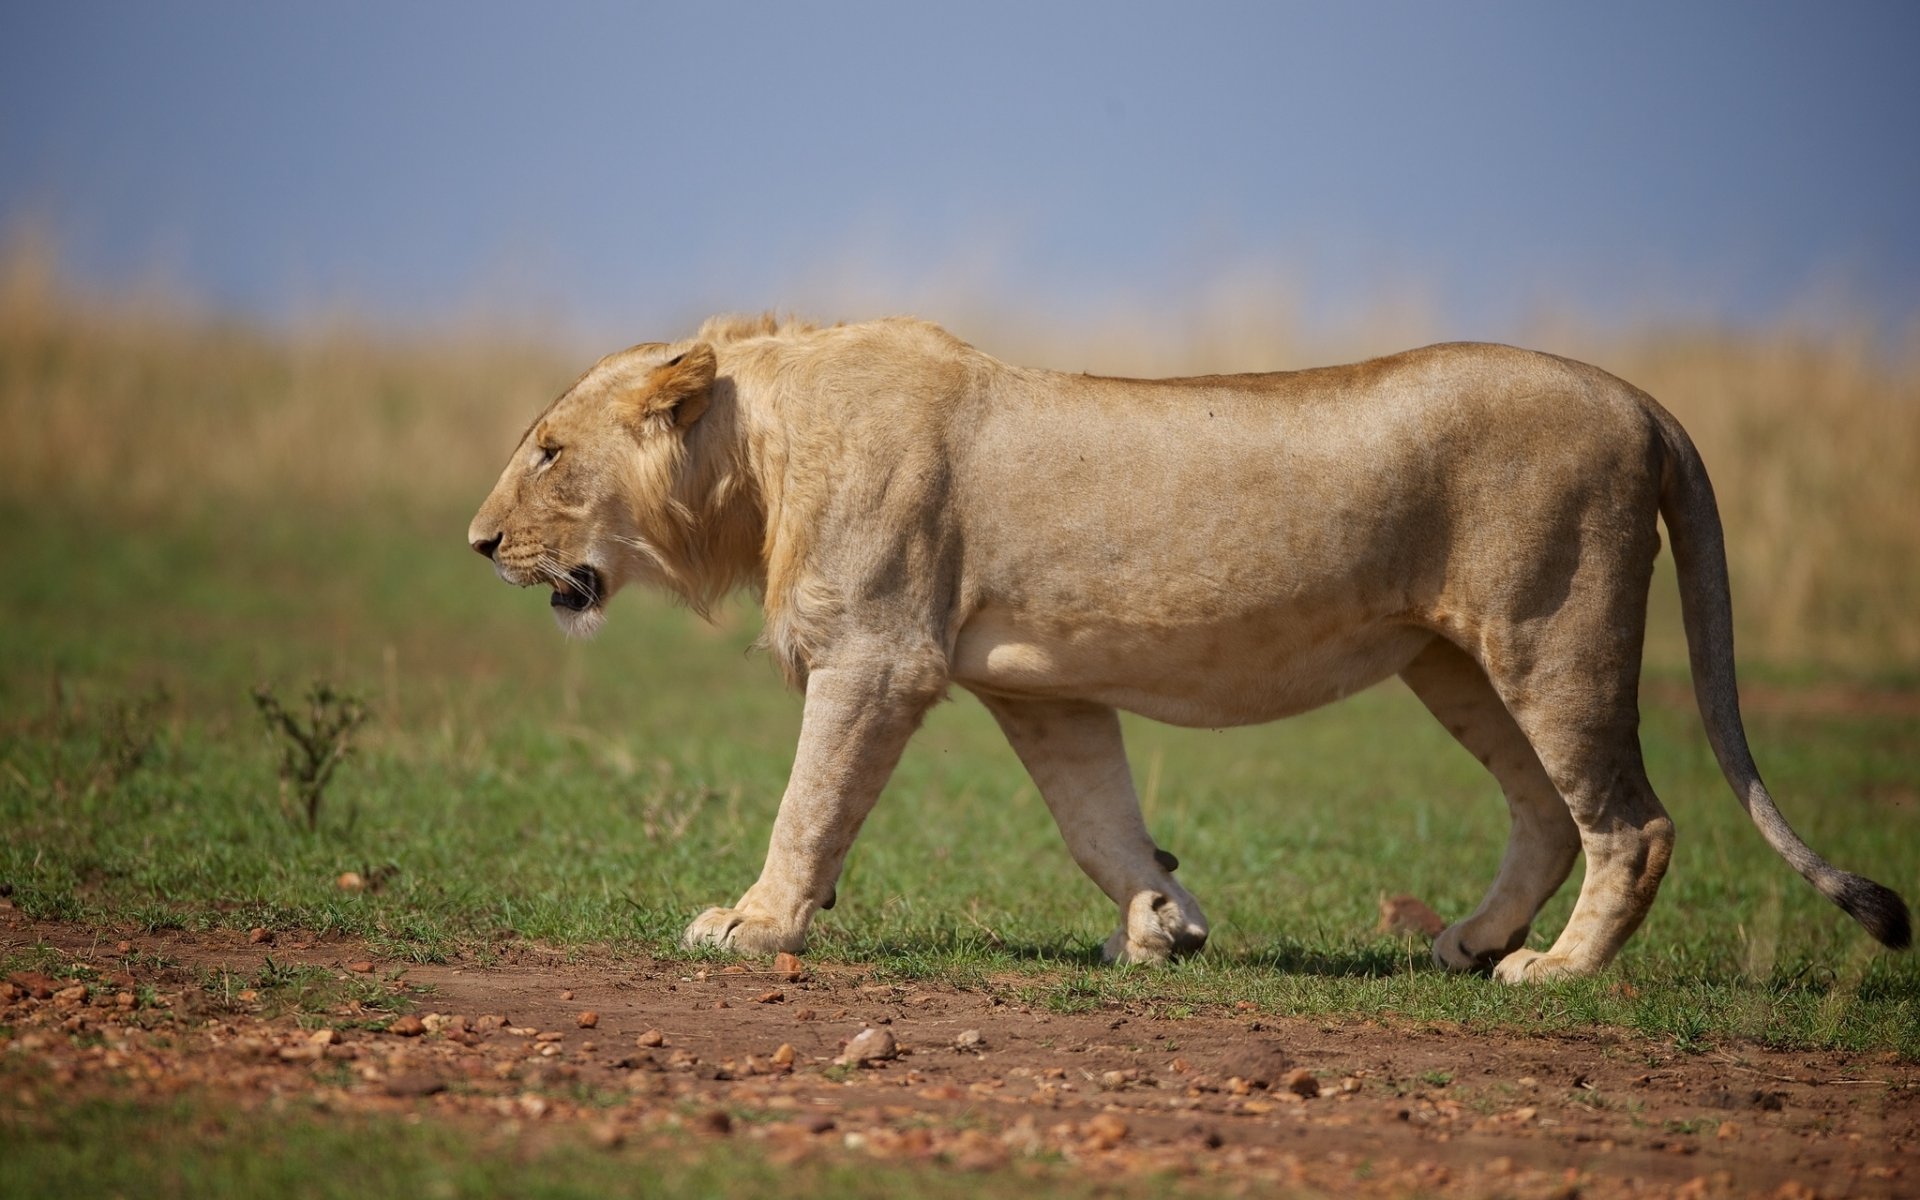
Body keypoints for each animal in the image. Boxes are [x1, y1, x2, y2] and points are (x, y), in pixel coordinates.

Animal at [468, 314, 1910, 982]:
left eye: (547, 450)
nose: (477, 545)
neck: (755, 456)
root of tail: (1642, 398)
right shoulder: (1036, 688)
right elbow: (1099, 818)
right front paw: (1163, 925)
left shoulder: (877, 657)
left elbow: (808, 806)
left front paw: (752, 923)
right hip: (1451, 659)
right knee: (1550, 812)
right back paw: (1465, 943)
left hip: (1555, 631)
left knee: (1635, 821)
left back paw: (1553, 972)